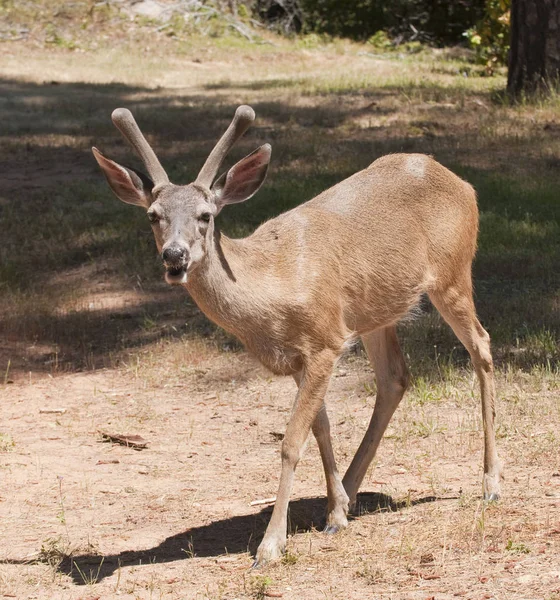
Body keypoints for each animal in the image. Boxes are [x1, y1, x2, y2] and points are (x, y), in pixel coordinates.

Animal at [92, 104, 504, 568]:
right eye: (153, 215)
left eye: (206, 215)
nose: (174, 256)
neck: (273, 285)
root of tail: (463, 184)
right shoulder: (297, 357)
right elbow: (320, 427)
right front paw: (336, 512)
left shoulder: (325, 340)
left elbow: (291, 441)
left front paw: (271, 545)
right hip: (376, 311)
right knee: (395, 378)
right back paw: (351, 490)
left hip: (452, 273)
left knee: (482, 346)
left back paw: (490, 483)